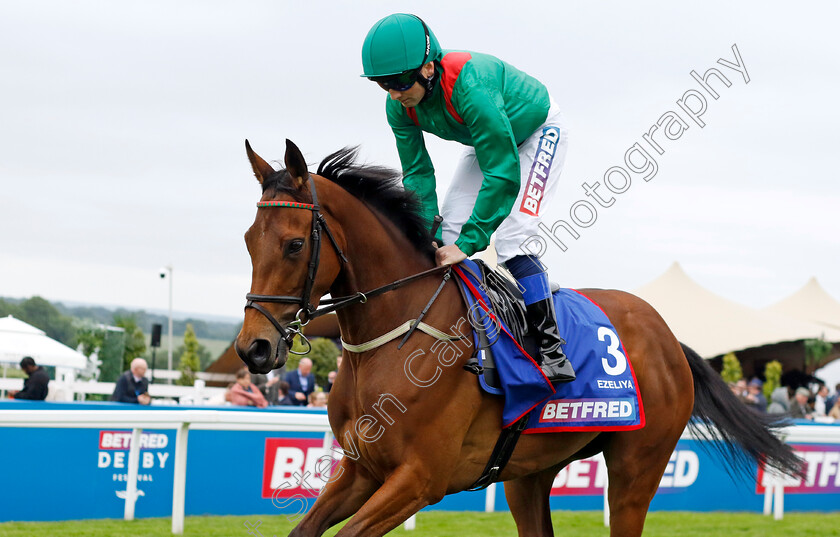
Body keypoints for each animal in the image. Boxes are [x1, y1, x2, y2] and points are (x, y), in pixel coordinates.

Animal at [235, 139, 800, 536]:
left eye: (292, 245)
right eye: (246, 240)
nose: (252, 348)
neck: (395, 336)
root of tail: (668, 337)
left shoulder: (420, 479)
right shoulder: (361, 469)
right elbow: (305, 528)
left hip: (637, 468)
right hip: (528, 473)